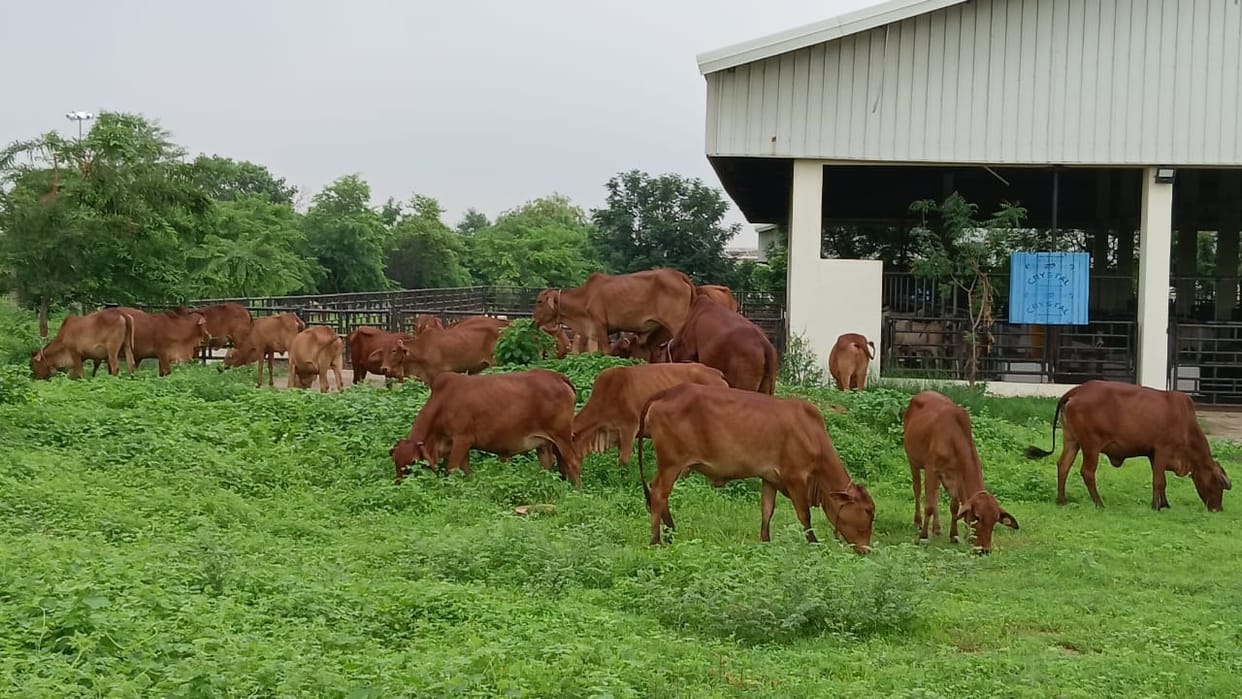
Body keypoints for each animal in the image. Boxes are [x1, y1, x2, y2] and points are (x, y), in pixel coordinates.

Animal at [388, 368, 581, 486]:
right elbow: (466, 471)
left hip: (561, 436)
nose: (400, 485)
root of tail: (557, 377)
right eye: (396, 462)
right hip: (544, 443)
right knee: (548, 465)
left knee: (573, 462)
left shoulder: (462, 439)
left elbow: (451, 469)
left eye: (413, 462)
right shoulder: (460, 446)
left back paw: (576, 491)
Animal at [532, 268, 695, 353]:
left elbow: (605, 352)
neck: (585, 296)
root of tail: (679, 275)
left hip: (676, 325)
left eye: (539, 301)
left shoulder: (601, 327)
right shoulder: (592, 333)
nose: (534, 321)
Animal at [636, 383, 876, 552]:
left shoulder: (769, 478)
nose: (866, 549)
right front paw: (814, 544)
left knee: (659, 493)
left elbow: (766, 512)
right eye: (868, 511)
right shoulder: (795, 478)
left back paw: (671, 533)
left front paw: (765, 542)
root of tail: (667, 393)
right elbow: (804, 516)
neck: (812, 434)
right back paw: (656, 540)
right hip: (671, 463)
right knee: (659, 493)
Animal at [903, 390, 1019, 554]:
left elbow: (954, 507)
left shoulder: (956, 476)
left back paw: (937, 529)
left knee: (936, 495)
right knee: (918, 491)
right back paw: (918, 523)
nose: (984, 550)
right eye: (977, 517)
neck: (952, 438)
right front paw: (923, 537)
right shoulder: (932, 469)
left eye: (995, 521)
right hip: (913, 460)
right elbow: (929, 506)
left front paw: (954, 536)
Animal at [1025, 379, 1232, 511]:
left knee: (1063, 465)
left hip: (1071, 440)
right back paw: (1099, 503)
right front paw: (1157, 507)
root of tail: (1076, 390)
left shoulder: (1153, 454)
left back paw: (1062, 500)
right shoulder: (1163, 449)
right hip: (1091, 445)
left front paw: (1164, 504)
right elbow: (1159, 480)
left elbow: (1160, 480)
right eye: (1218, 484)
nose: (1218, 509)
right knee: (1087, 472)